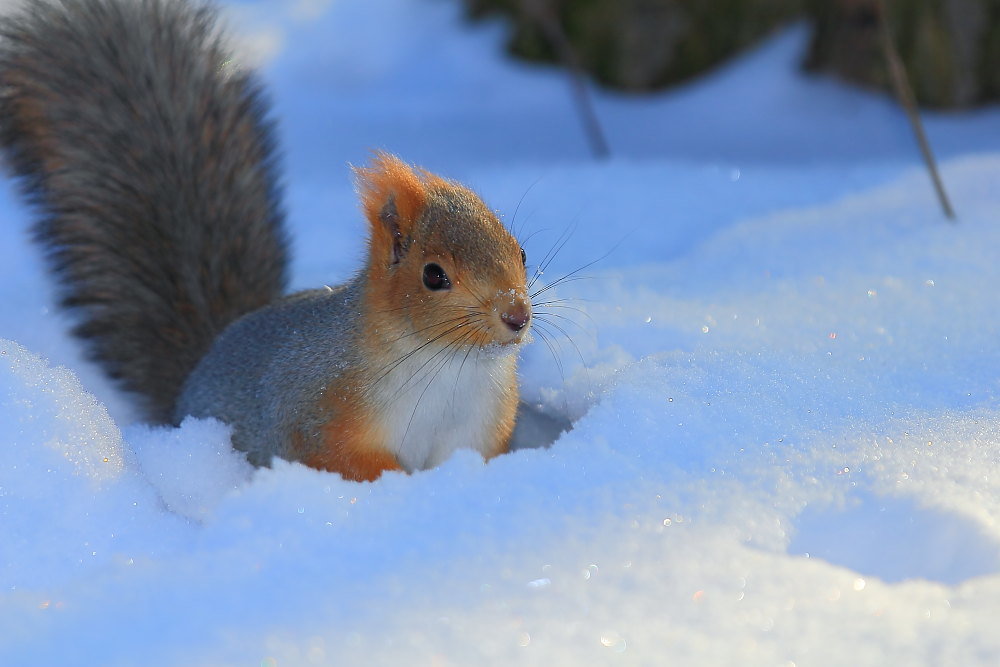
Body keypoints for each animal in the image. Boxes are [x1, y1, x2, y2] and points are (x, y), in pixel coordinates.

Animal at [0, 0, 532, 480]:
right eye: (434, 276)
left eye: (521, 252)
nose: (516, 315)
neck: (450, 368)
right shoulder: (317, 411)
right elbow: (339, 458)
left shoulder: (477, 433)